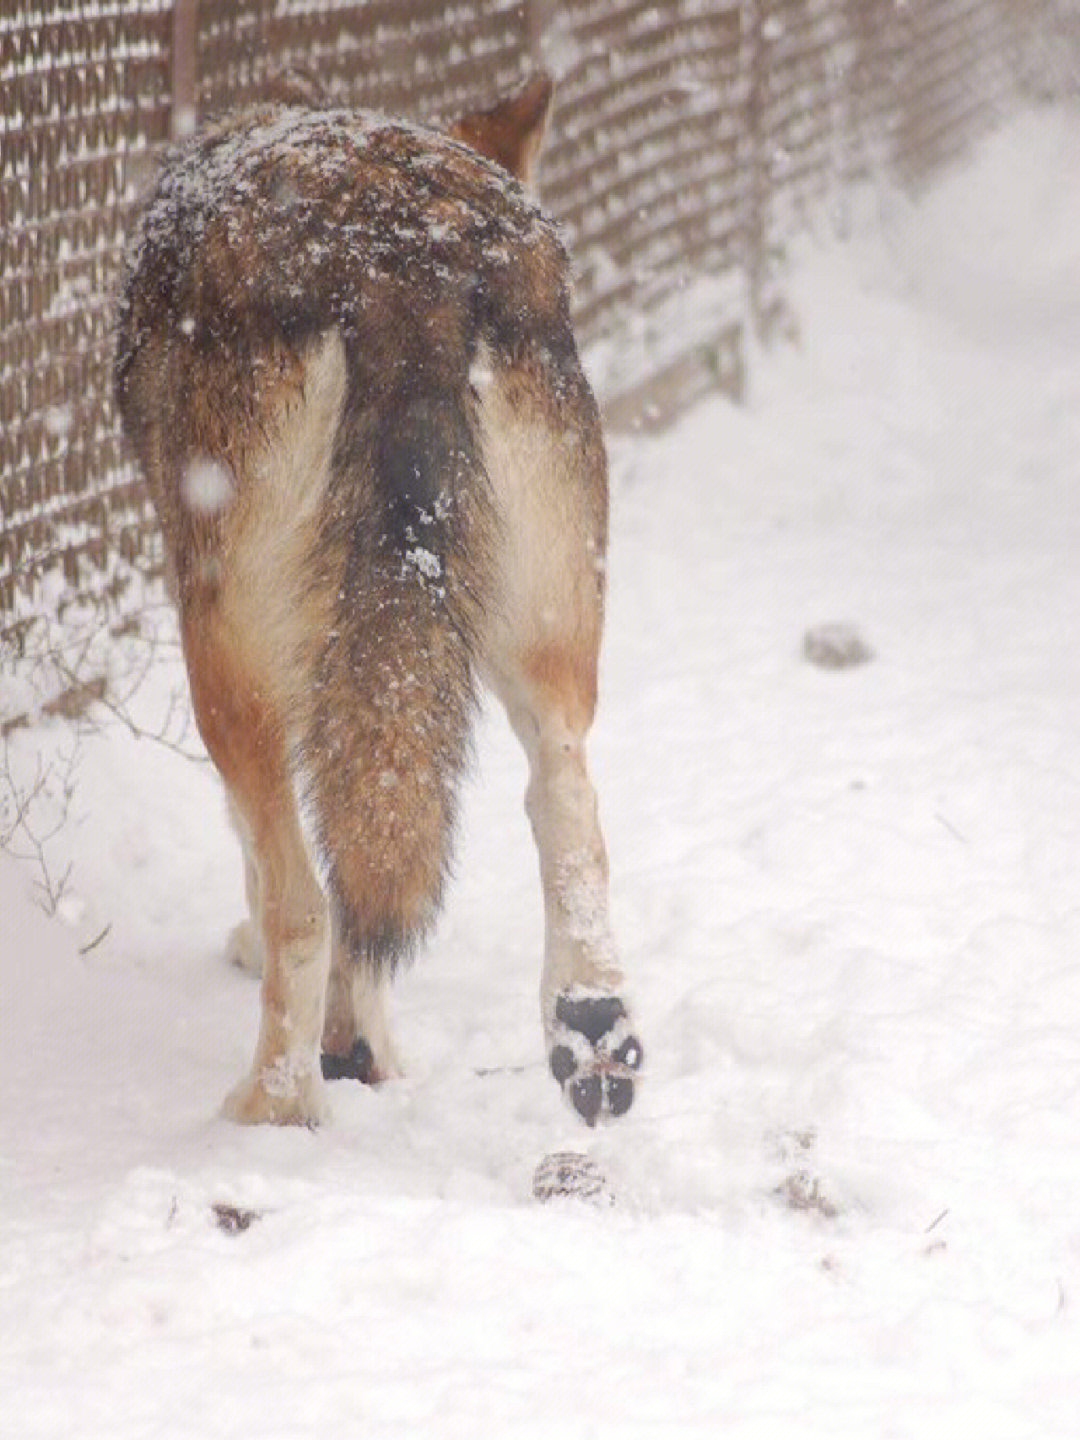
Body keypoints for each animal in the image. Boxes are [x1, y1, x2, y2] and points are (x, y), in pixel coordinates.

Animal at [116, 73, 642, 1128]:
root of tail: (400, 259)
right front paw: (365, 1050)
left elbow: (270, 867)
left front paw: (334, 1045)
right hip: (546, 653)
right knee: (565, 809)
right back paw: (591, 1028)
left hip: (227, 666)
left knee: (305, 902)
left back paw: (271, 1108)